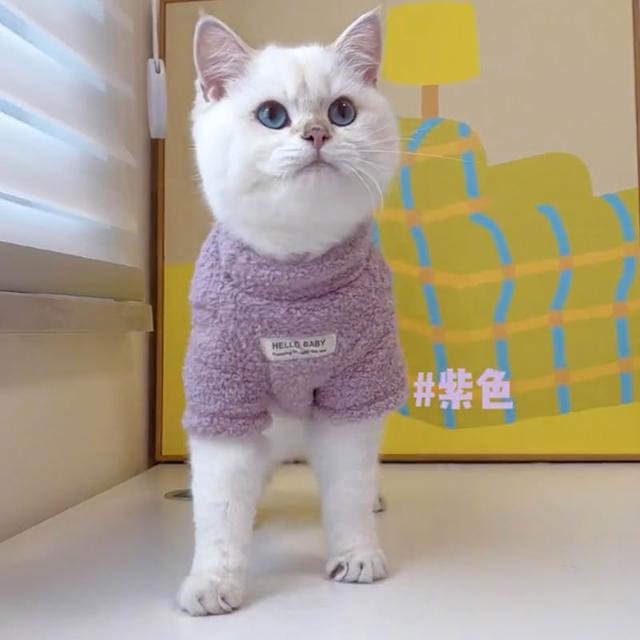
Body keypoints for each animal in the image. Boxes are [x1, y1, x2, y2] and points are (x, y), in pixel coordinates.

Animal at [178, 9, 406, 616]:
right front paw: (213, 581)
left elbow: (348, 490)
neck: (294, 284)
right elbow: (219, 511)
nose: (317, 133)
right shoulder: (224, 398)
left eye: (343, 111)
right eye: (272, 115)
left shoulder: (354, 392)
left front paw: (356, 556)